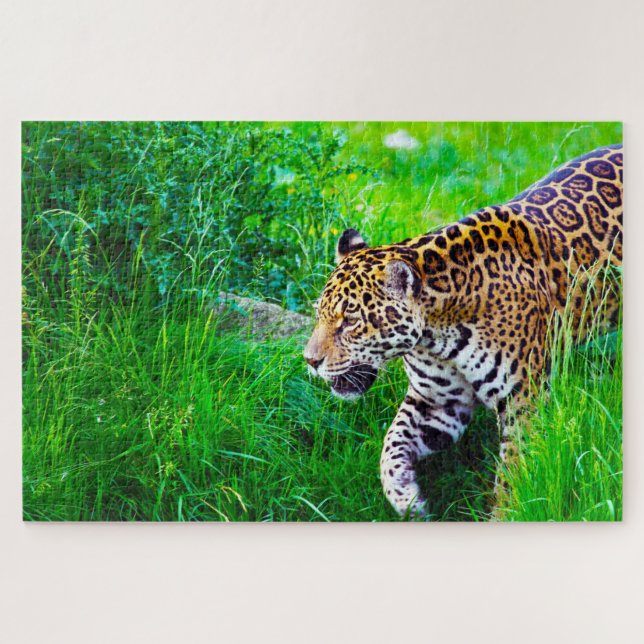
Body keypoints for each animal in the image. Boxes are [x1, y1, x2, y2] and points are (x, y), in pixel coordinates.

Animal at [303, 144, 623, 518]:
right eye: (320, 314)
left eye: (350, 320)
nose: (309, 361)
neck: (438, 333)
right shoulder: (438, 402)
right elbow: (392, 443)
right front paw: (406, 497)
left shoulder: (523, 401)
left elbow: (513, 472)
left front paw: (505, 515)